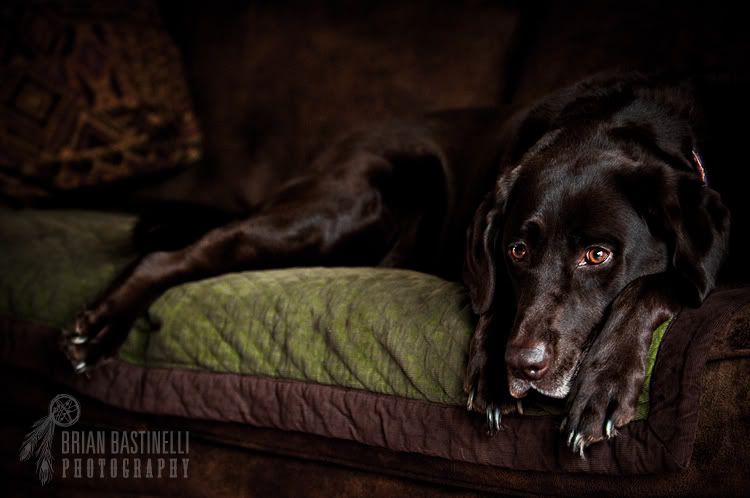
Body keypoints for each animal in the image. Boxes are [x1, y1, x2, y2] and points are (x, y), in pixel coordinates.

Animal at [61, 72, 732, 455]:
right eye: (517, 250)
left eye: (599, 255)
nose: (523, 366)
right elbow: (495, 298)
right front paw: (494, 373)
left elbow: (658, 285)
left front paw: (604, 384)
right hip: (339, 214)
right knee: (181, 252)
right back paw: (99, 326)